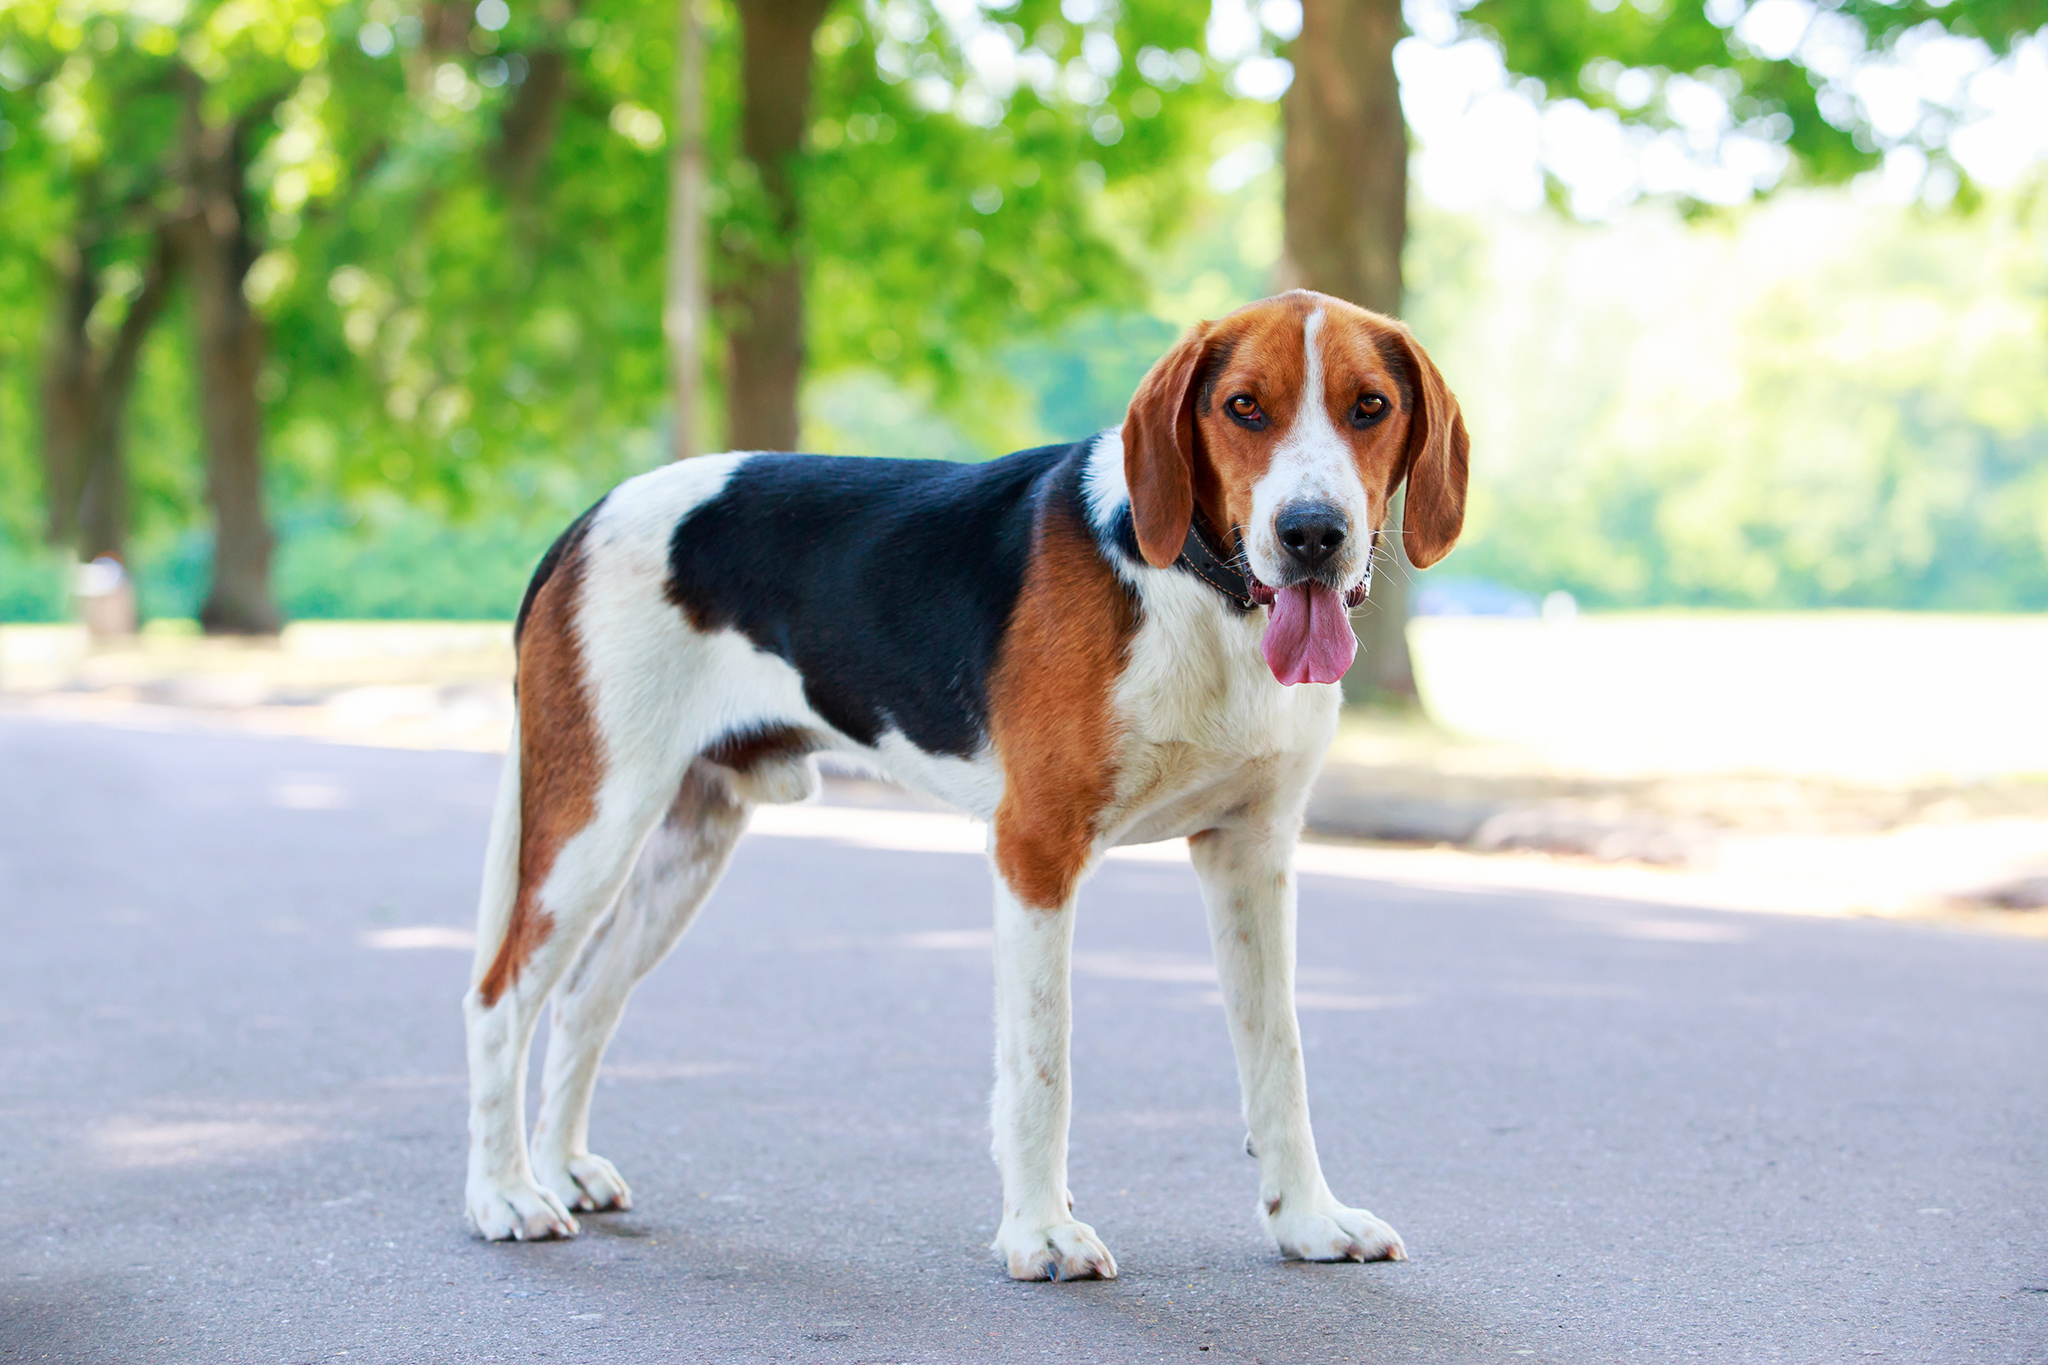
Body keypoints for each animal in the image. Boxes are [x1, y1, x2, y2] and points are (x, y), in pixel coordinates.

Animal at [458, 288, 1466, 1285]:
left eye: (1370, 406)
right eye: (1244, 407)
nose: (1312, 534)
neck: (1204, 597)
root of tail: (588, 517)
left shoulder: (1251, 855)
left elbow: (1279, 1060)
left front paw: (1308, 1220)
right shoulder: (1036, 849)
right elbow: (1042, 1062)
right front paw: (1041, 1234)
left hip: (686, 842)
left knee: (584, 998)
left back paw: (562, 1168)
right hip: (591, 823)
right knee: (500, 998)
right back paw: (505, 1194)